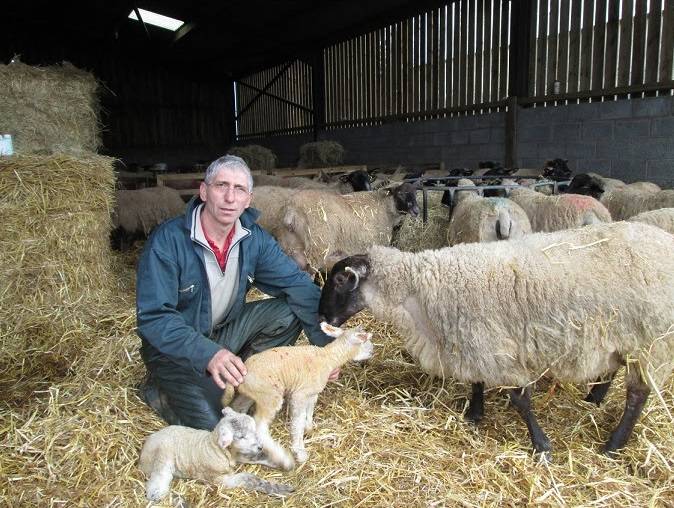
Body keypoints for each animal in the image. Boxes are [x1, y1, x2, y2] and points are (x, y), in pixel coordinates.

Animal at [138, 406, 292, 502]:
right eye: (241, 437)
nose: (260, 446)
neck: (216, 449)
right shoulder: (218, 479)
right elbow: (249, 478)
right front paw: (279, 489)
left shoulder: (239, 454)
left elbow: (257, 456)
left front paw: (284, 462)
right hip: (162, 456)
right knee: (160, 475)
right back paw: (157, 495)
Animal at [223, 322, 376, 468]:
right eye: (365, 340)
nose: (372, 350)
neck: (327, 358)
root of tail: (245, 368)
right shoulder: (299, 395)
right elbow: (298, 421)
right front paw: (300, 451)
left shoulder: (312, 392)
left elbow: (310, 409)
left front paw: (309, 427)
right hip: (270, 396)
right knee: (260, 426)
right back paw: (280, 456)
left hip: (253, 393)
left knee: (238, 408)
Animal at [276, 184, 418, 274]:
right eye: (400, 194)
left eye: (416, 194)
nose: (416, 211)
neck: (385, 208)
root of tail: (292, 210)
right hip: (317, 249)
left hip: (290, 248)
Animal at [318, 222, 672, 456]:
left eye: (339, 280)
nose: (322, 317)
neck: (418, 289)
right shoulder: (472, 339)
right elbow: (477, 381)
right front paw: (475, 414)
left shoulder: (496, 346)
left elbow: (519, 399)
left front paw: (541, 445)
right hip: (617, 333)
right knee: (613, 367)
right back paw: (594, 398)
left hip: (651, 341)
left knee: (638, 394)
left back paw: (613, 444)